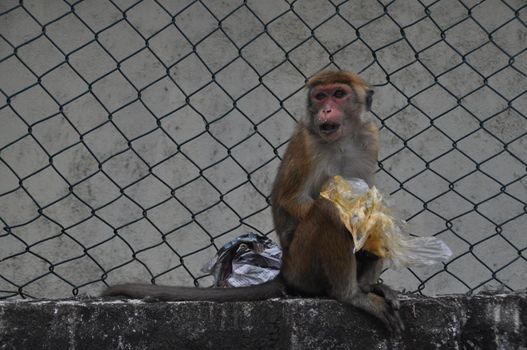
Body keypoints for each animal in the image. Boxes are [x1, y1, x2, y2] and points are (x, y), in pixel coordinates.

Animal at [103, 70, 404, 334]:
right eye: (321, 96)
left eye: (339, 94)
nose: (326, 110)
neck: (341, 140)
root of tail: (285, 271)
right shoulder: (307, 145)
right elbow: (291, 201)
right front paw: (358, 222)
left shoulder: (369, 136)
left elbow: (372, 197)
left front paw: (372, 228)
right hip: (303, 265)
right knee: (329, 210)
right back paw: (351, 293)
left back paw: (368, 285)